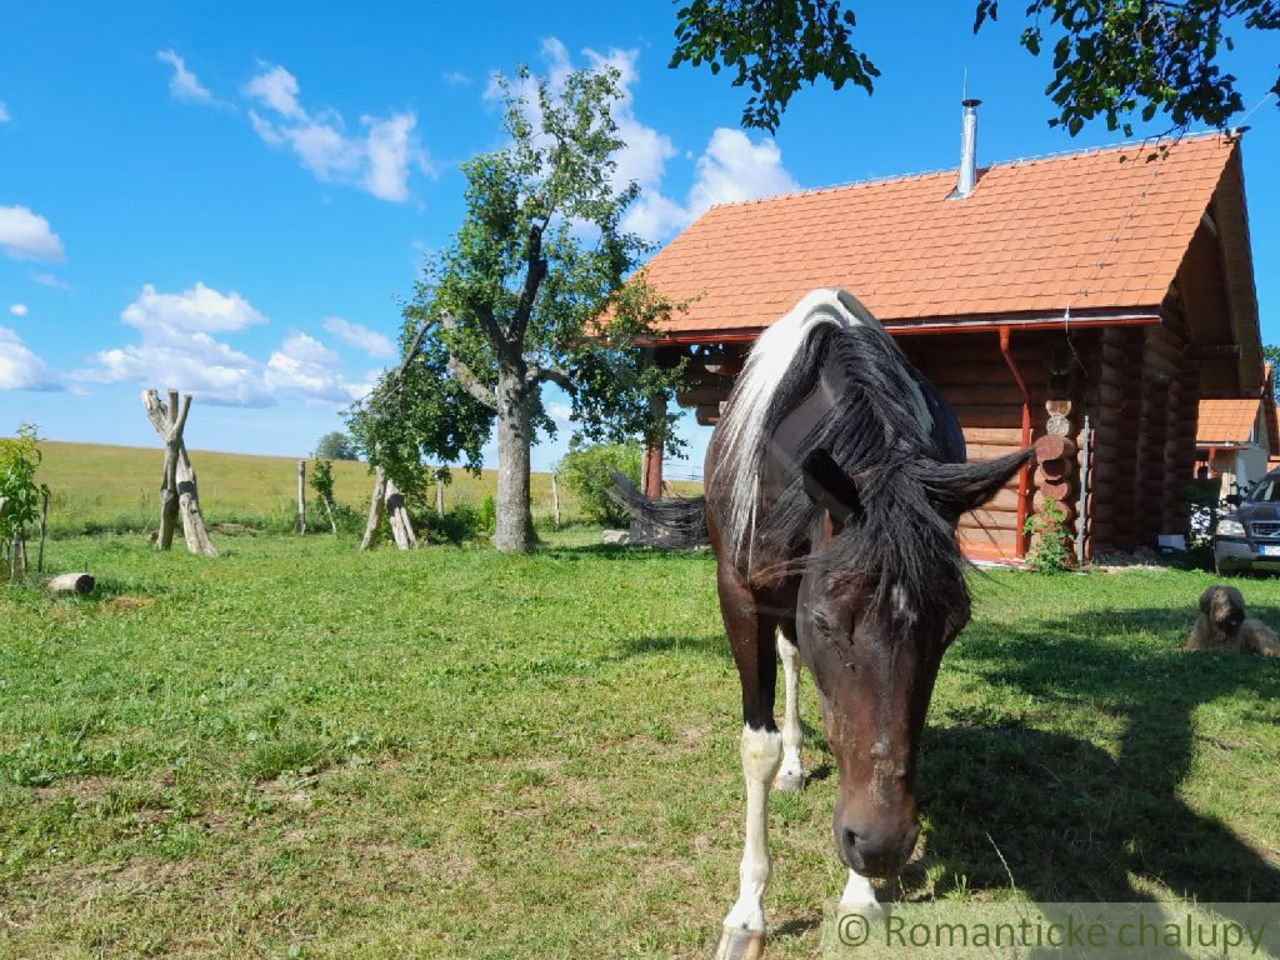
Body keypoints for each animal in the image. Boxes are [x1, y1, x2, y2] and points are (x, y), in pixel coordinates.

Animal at [611, 289, 1029, 957]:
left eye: (952, 627)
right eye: (826, 622)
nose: (881, 846)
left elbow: (863, 739)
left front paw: (861, 893)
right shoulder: (742, 596)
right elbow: (759, 744)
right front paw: (748, 913)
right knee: (787, 663)